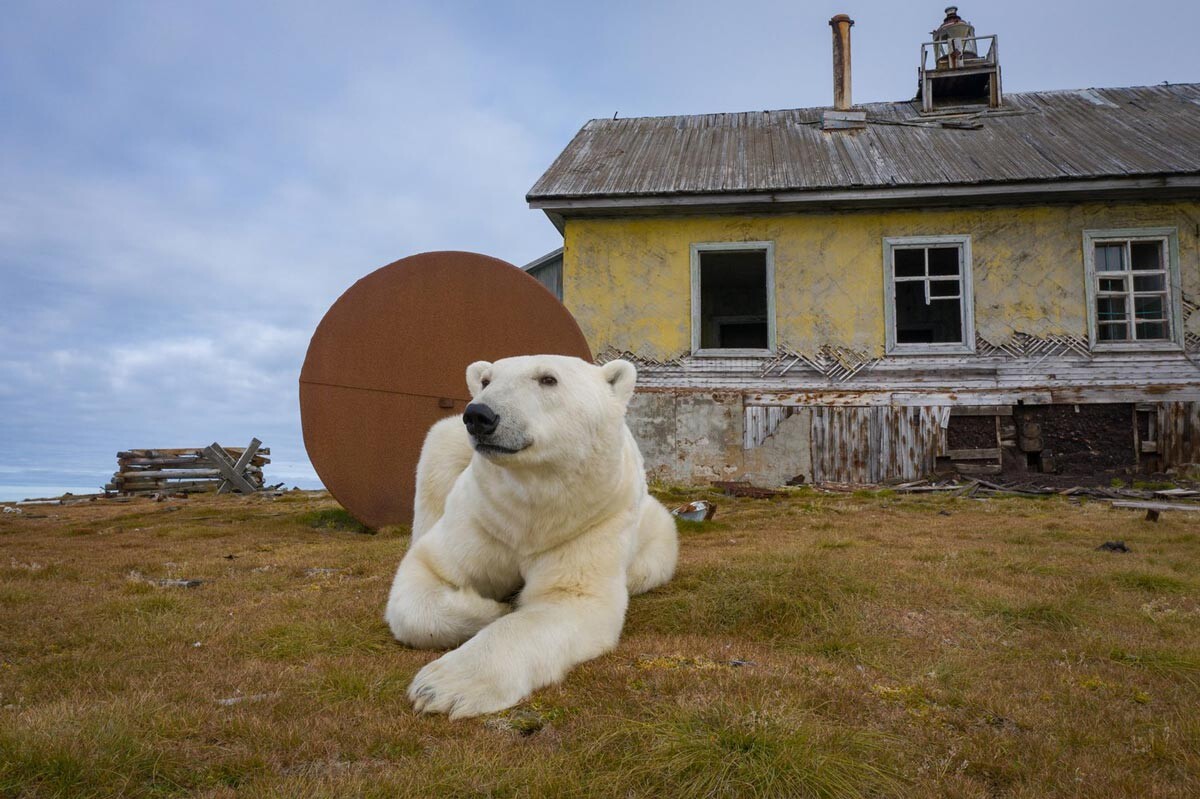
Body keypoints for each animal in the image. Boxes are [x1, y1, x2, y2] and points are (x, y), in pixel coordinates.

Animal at [385, 354, 679, 719]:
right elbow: (429, 573)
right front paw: (490, 608)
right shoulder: (483, 517)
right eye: (486, 380)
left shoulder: (589, 523)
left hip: (655, 530)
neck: (531, 512)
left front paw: (443, 685)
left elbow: (568, 597)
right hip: (447, 446)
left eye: (548, 379)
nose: (479, 415)